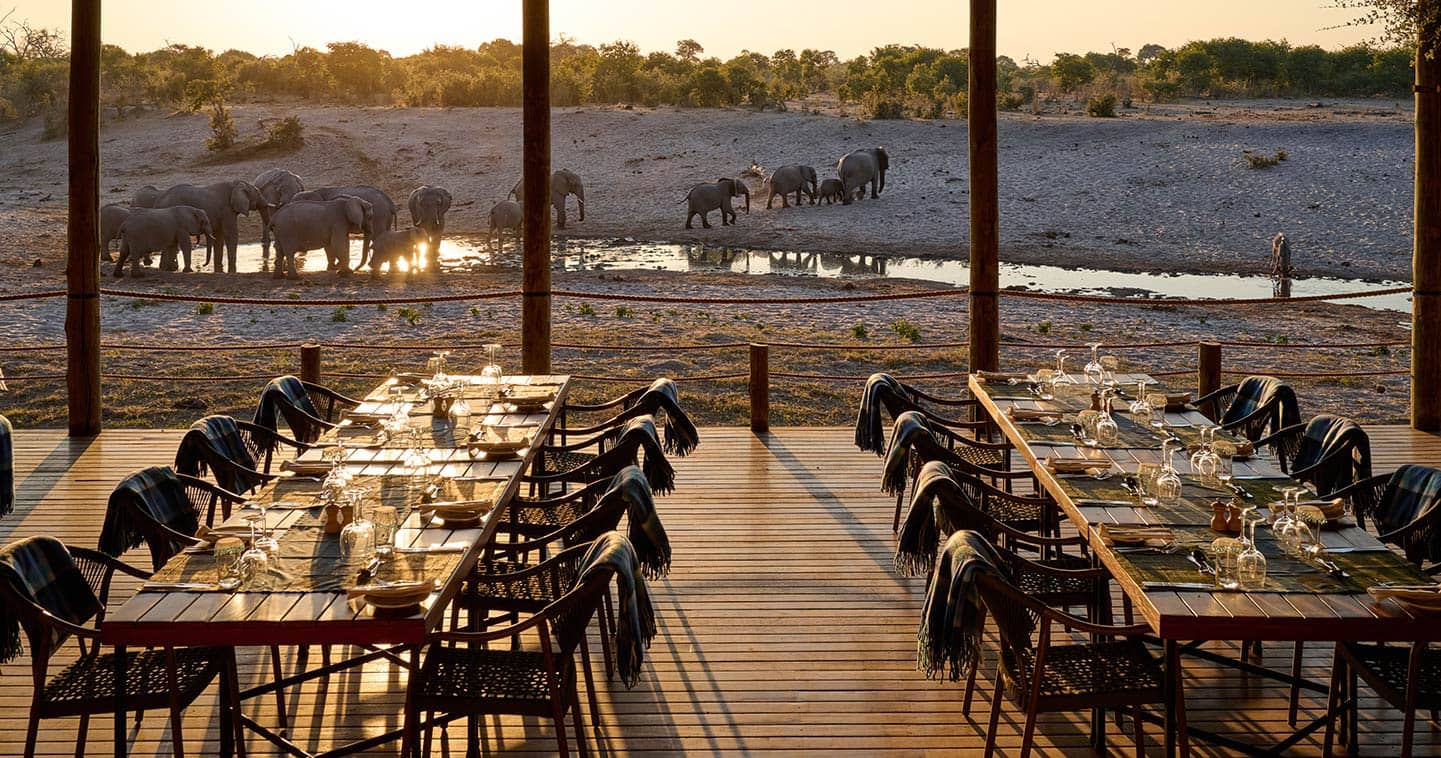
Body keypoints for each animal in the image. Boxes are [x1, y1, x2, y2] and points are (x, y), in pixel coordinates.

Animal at [133, 181, 268, 273]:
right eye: (258, 192)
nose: (203, 266)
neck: (235, 183)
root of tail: (158, 201)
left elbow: (219, 237)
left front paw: (219, 269)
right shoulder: (227, 210)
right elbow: (231, 234)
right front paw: (232, 269)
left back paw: (165, 268)